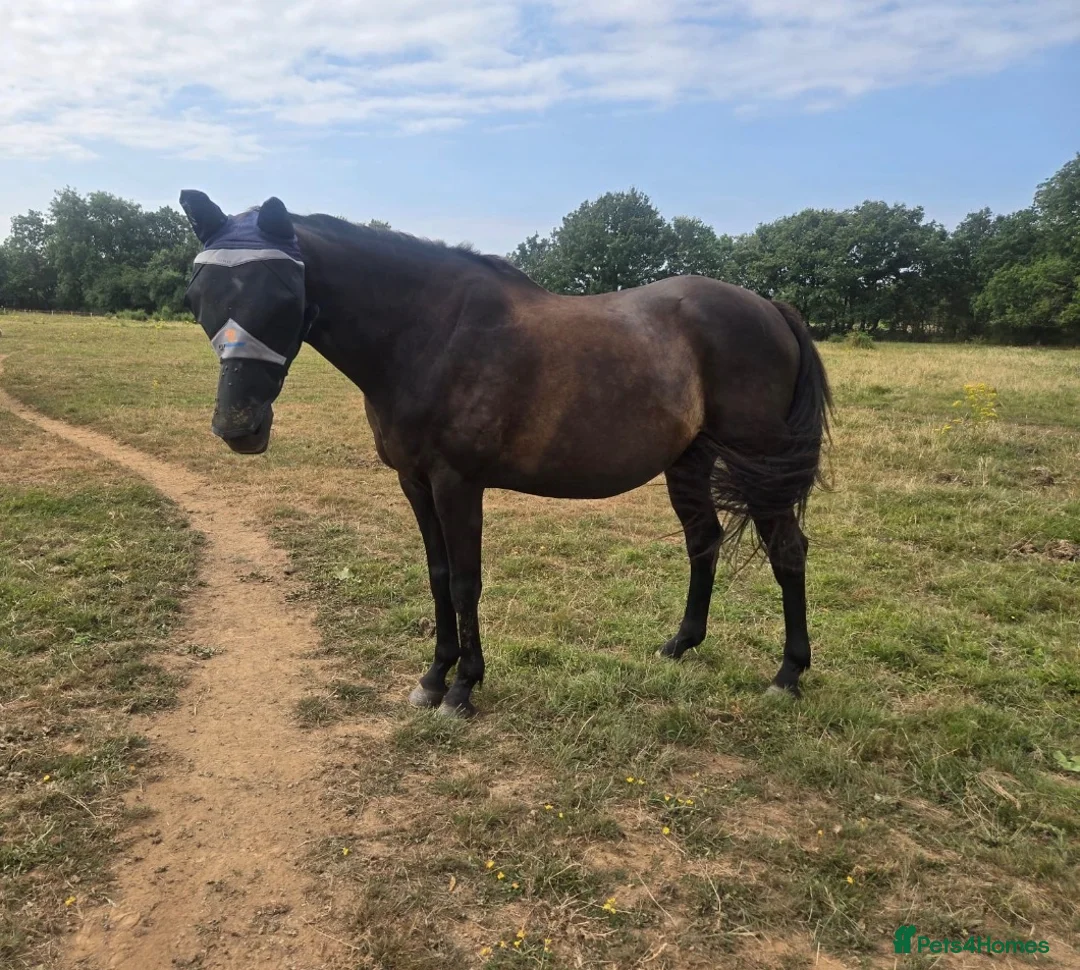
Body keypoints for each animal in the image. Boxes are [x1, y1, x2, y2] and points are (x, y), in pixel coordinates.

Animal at [178, 190, 832, 718]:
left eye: (284, 292)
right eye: (198, 294)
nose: (238, 426)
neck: (429, 334)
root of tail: (772, 308)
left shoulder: (457, 483)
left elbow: (467, 581)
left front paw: (463, 689)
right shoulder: (415, 483)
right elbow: (439, 576)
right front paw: (432, 679)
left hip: (759, 466)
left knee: (787, 551)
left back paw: (787, 675)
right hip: (689, 461)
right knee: (704, 540)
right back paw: (680, 645)